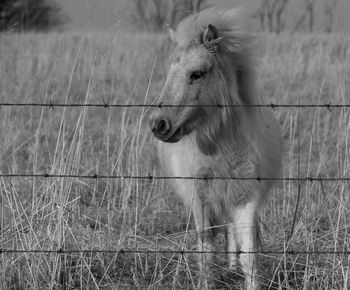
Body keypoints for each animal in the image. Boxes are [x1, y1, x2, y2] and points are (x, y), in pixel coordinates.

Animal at [149, 7, 284, 288]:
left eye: (197, 74)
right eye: (169, 73)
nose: (158, 124)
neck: (220, 145)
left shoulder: (246, 199)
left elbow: (249, 257)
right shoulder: (200, 201)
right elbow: (206, 254)